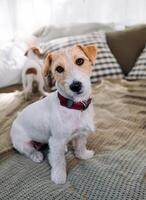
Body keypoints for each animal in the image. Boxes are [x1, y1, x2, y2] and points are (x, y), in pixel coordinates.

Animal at [10, 43, 97, 184]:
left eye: (80, 61)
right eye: (59, 69)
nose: (75, 86)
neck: (74, 106)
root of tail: (16, 119)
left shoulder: (81, 134)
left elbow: (80, 146)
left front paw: (83, 155)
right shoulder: (56, 141)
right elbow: (58, 161)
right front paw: (59, 178)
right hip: (22, 143)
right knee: (28, 150)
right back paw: (36, 155)